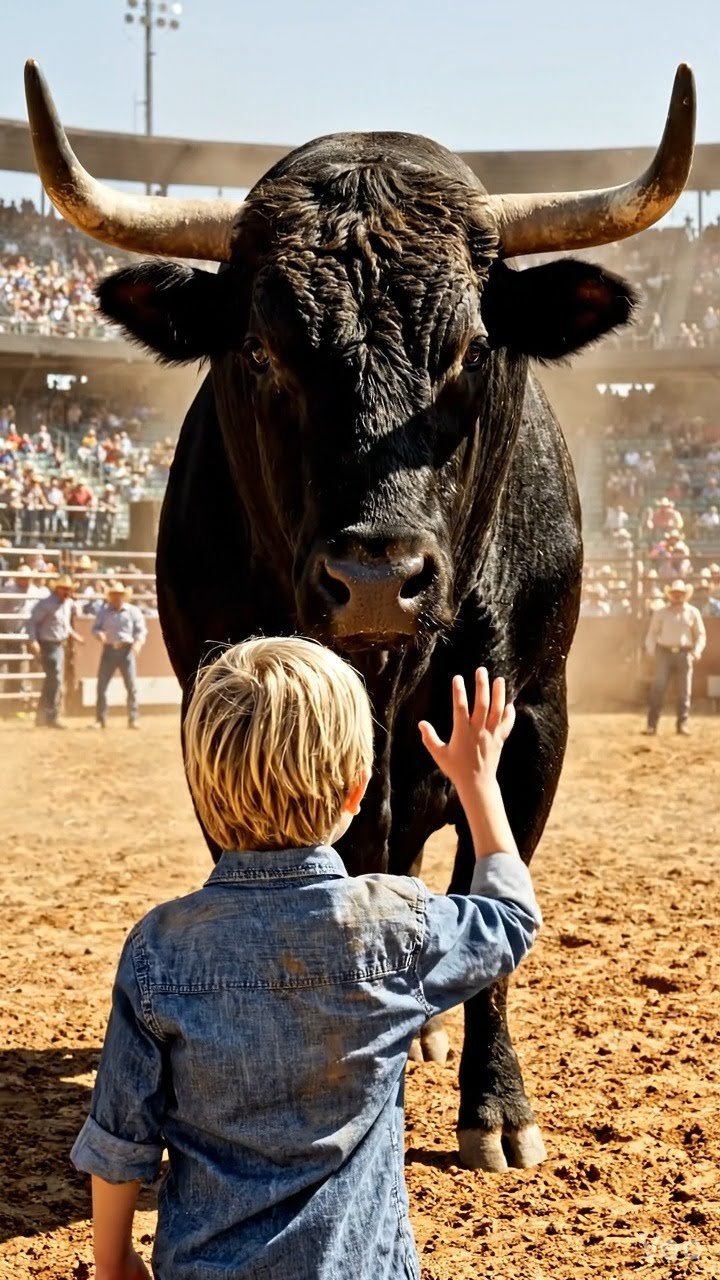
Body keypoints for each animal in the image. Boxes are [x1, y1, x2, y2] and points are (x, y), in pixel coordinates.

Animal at [25, 60, 694, 1171]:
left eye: (471, 346)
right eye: (260, 348)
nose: (376, 575)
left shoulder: (535, 715)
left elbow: (493, 891)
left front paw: (495, 1108)